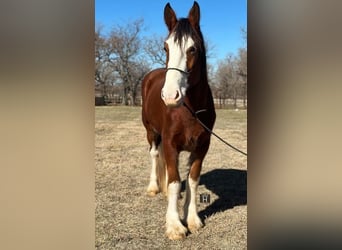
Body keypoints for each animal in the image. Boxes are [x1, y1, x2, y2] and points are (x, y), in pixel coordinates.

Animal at [140, 1, 215, 240]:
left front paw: (192, 219)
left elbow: (192, 180)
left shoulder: (201, 146)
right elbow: (173, 182)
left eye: (192, 48)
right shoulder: (170, 144)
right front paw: (174, 225)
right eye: (166, 47)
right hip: (151, 133)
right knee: (155, 155)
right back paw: (154, 187)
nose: (170, 96)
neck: (189, 110)